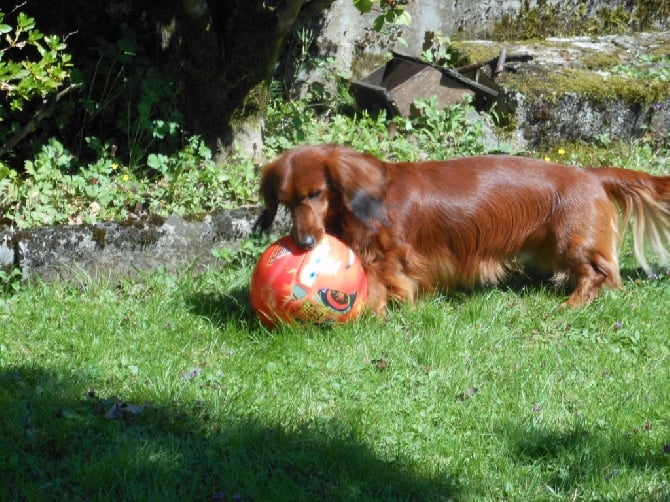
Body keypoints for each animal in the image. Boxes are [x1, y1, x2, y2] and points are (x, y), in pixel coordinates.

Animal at [255, 143, 668, 312]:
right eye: (286, 201)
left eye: (316, 194)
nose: (304, 242)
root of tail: (591, 174)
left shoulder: (386, 257)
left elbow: (378, 285)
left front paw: (371, 311)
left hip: (571, 242)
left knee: (598, 272)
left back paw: (573, 303)